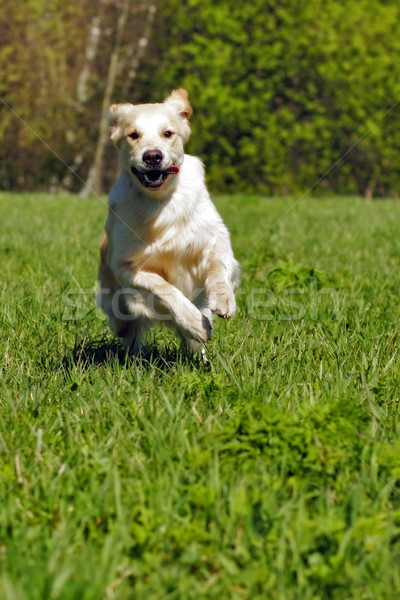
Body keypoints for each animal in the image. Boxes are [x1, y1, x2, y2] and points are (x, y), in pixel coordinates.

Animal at [97, 88, 241, 352]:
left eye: (168, 133)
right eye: (133, 135)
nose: (152, 156)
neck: (160, 201)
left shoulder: (214, 236)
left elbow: (218, 267)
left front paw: (223, 299)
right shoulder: (124, 266)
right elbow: (164, 289)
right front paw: (194, 323)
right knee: (127, 330)